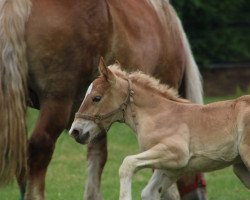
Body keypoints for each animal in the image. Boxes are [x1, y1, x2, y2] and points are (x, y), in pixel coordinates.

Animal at [69, 61, 250, 200]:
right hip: (240, 167)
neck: (158, 114)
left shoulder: (175, 152)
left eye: (96, 98)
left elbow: (127, 164)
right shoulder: (172, 167)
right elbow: (149, 192)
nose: (75, 131)